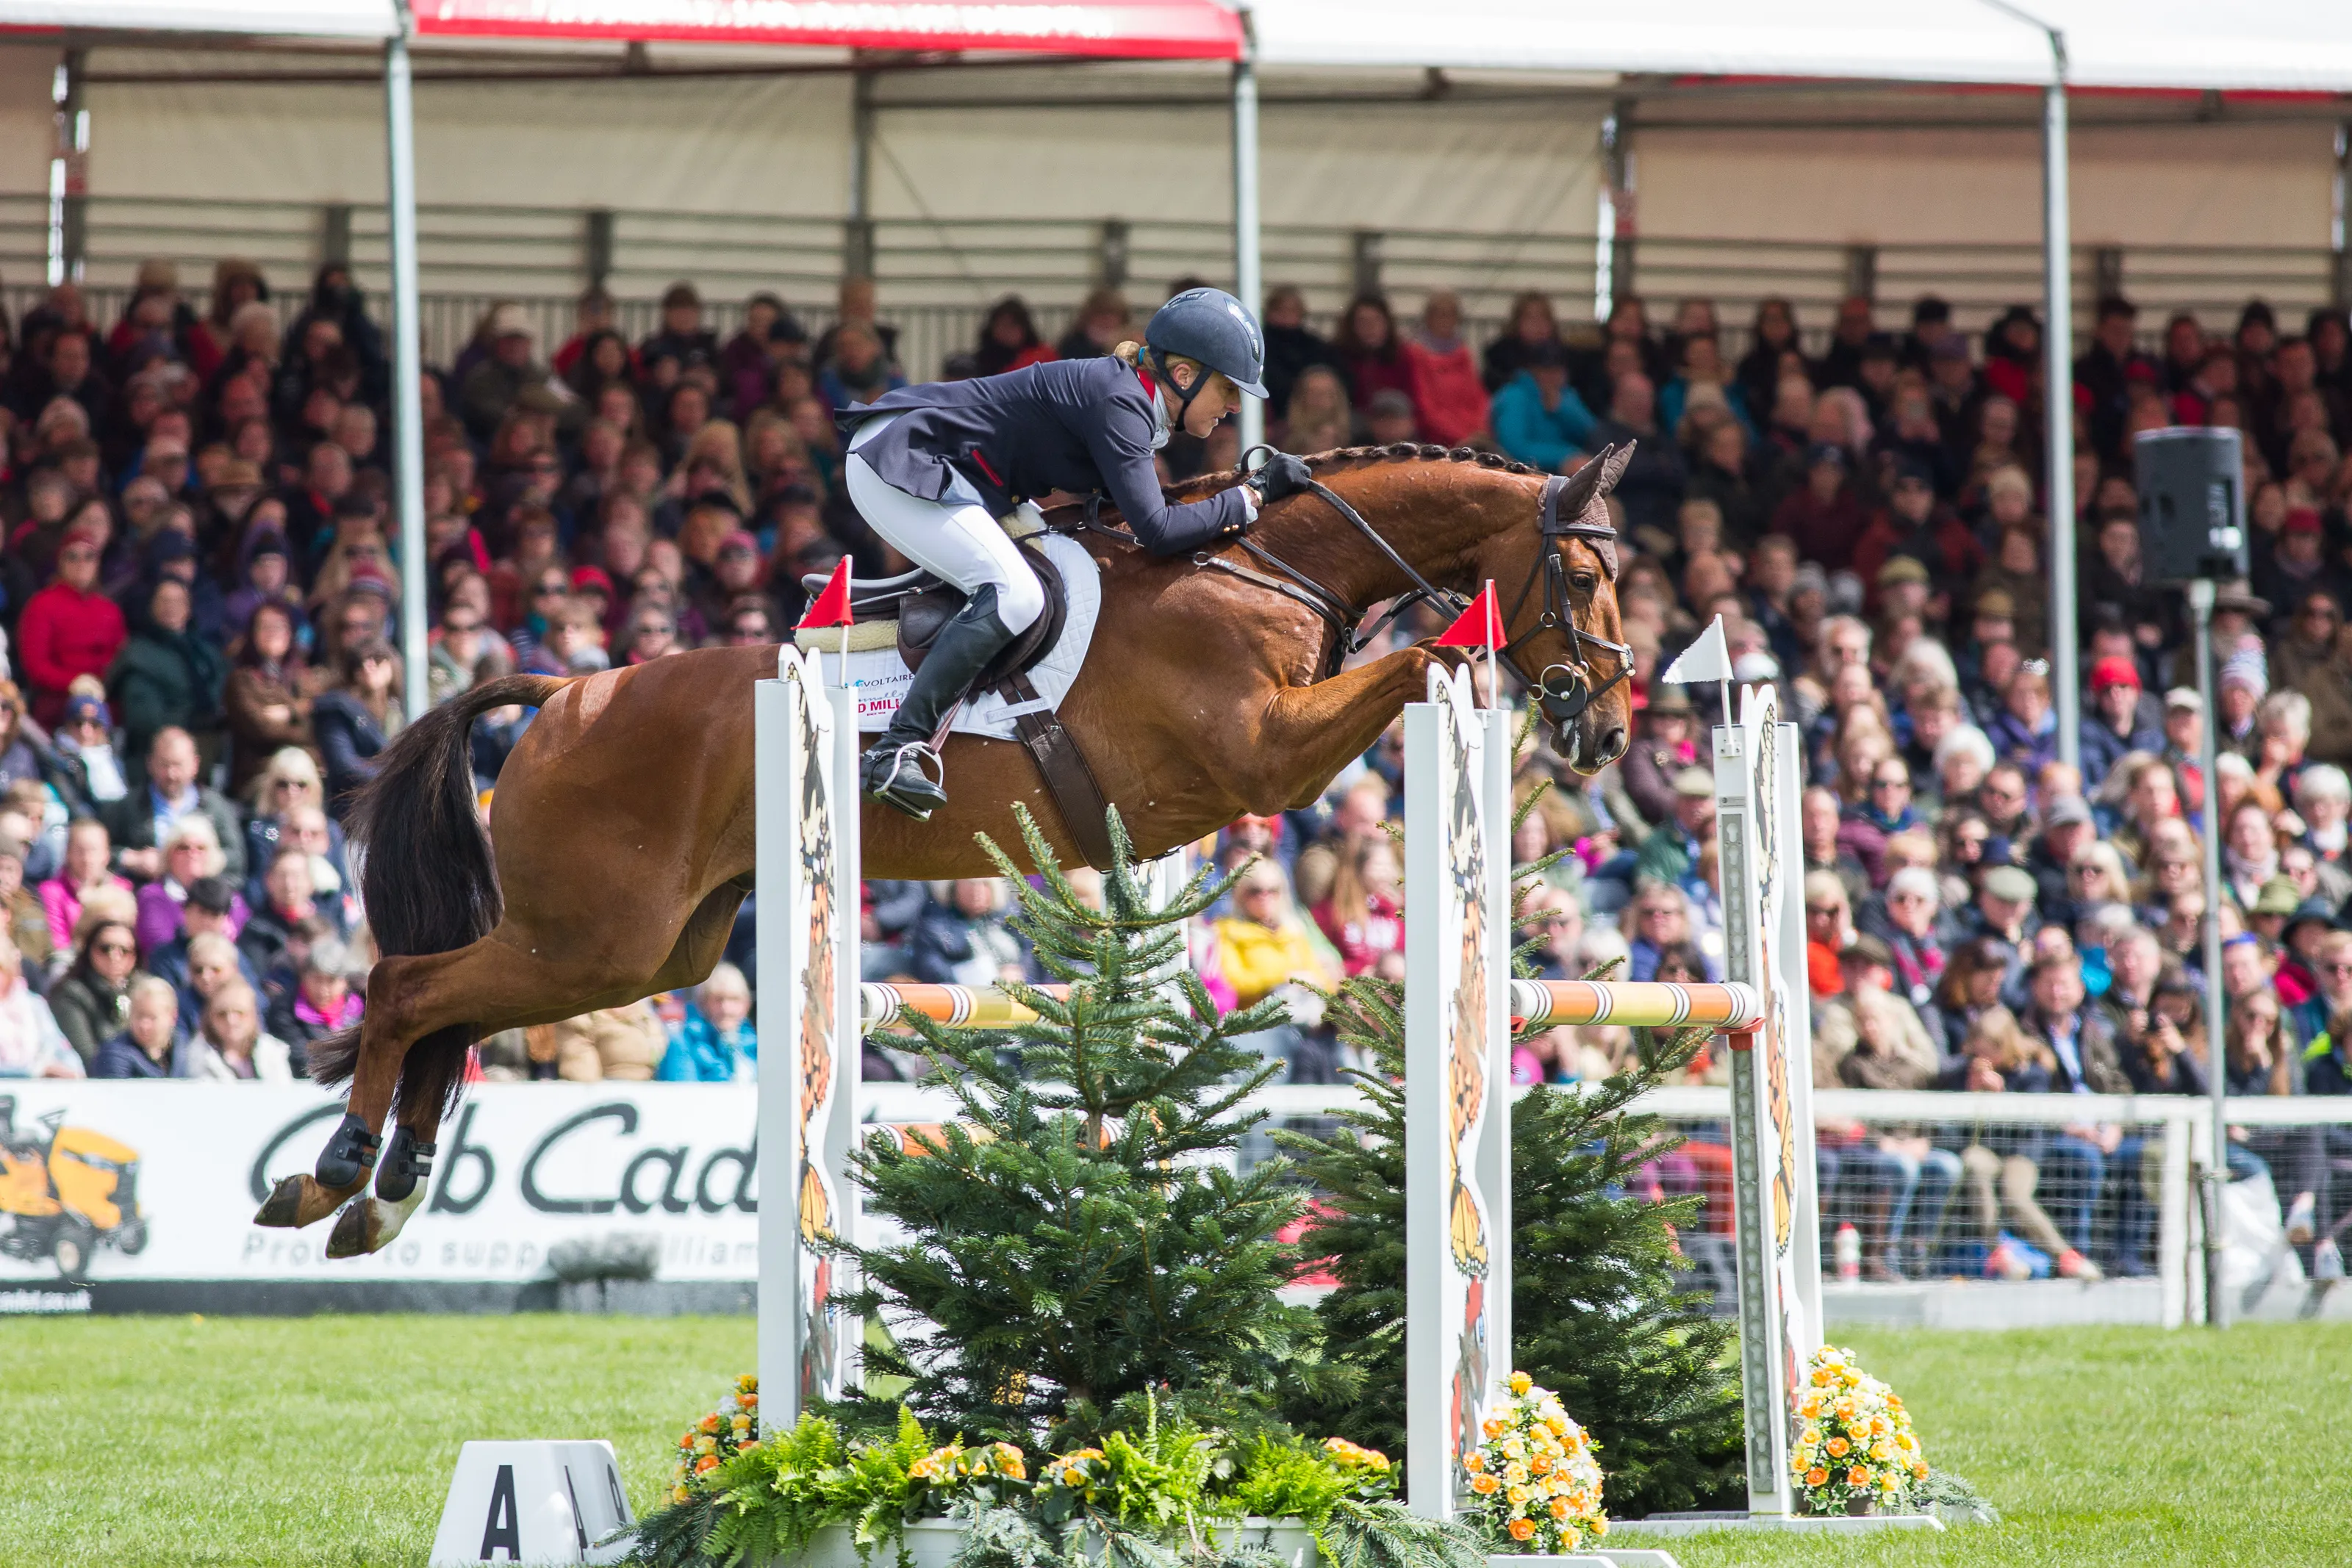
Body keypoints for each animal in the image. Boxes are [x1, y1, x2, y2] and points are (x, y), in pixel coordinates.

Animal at [253, 441, 1637, 1256]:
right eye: (1579, 573)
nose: (1610, 724)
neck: (1263, 569)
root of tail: (564, 694)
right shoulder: (1261, 755)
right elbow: (1416, 662)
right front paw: (1479, 676)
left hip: (636, 950)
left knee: (455, 1012)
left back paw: (384, 1192)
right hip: (597, 934)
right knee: (408, 988)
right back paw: (331, 1170)